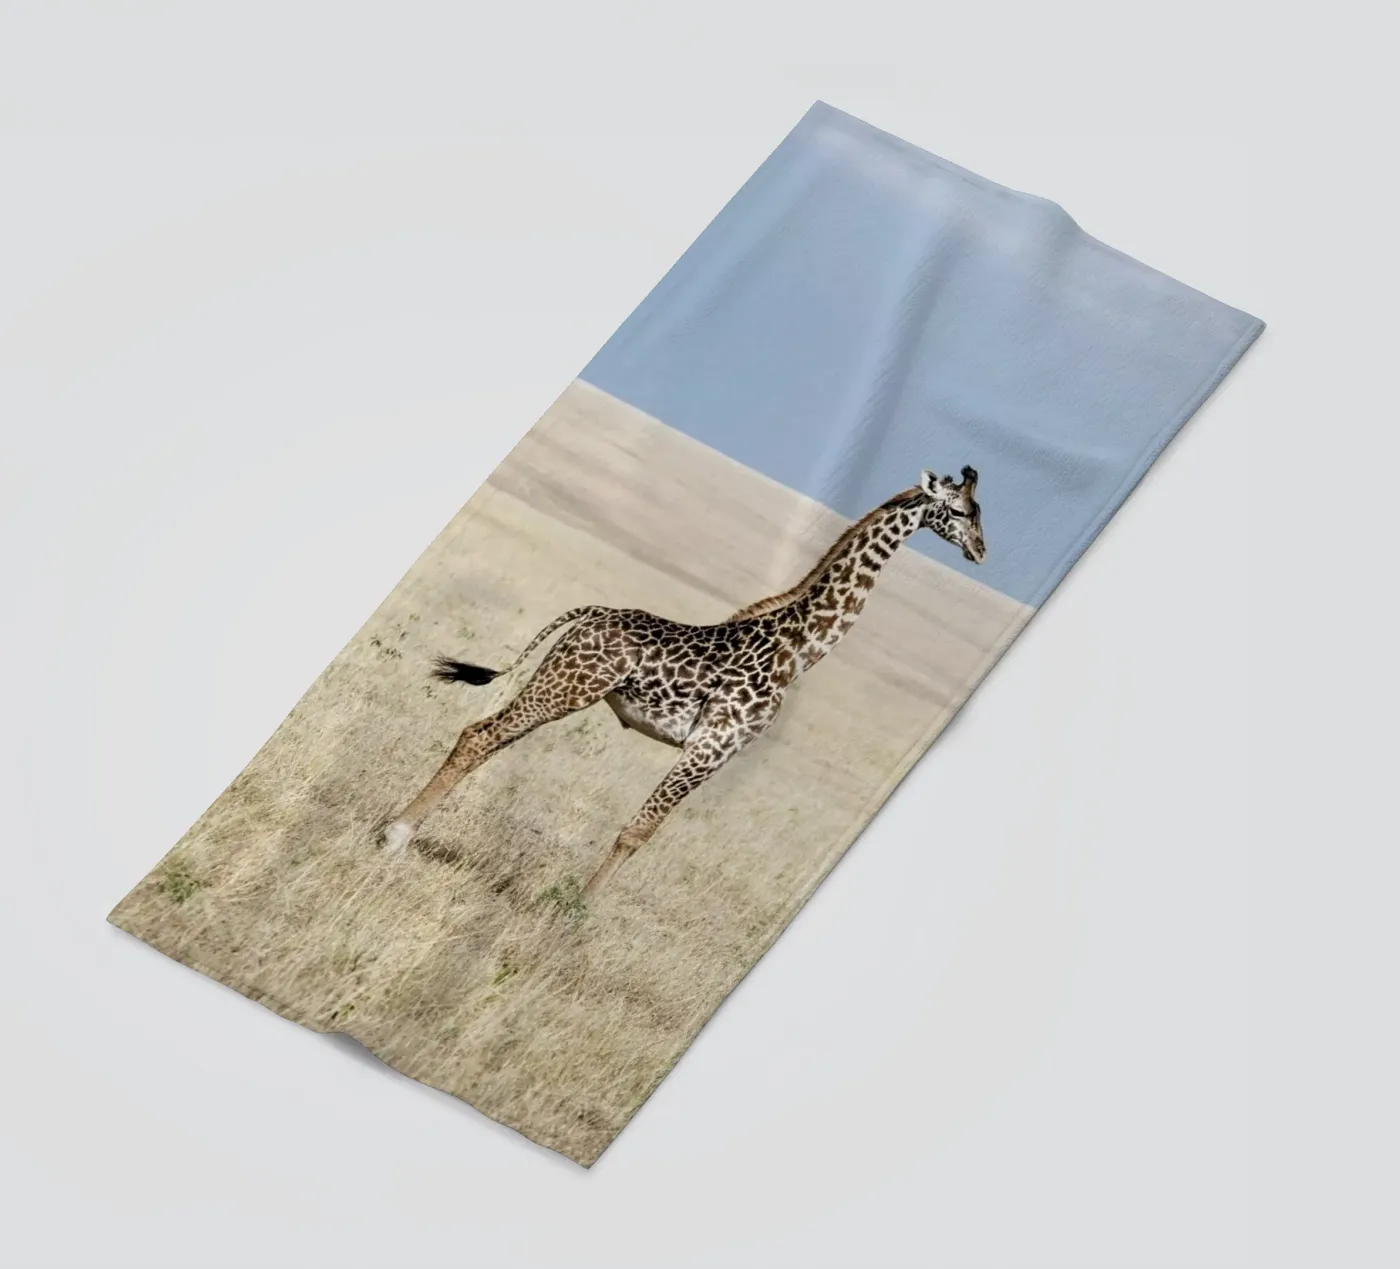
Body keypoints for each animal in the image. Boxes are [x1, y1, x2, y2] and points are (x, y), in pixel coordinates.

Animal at [380, 466, 987, 894]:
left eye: (978, 513)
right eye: (959, 510)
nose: (981, 551)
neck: (798, 650)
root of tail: (594, 613)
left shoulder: (719, 752)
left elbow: (643, 831)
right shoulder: (713, 745)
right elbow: (639, 831)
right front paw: (574, 914)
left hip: (564, 685)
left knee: (485, 735)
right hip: (570, 686)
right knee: (481, 735)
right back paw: (395, 835)